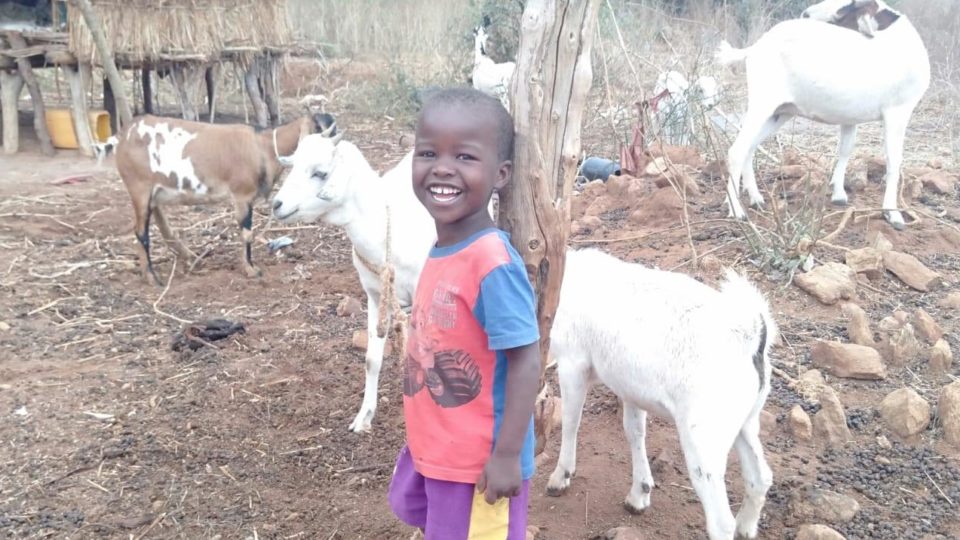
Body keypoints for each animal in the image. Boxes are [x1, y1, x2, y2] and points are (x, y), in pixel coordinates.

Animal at [101, 112, 334, 284]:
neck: (263, 146)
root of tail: (123, 134)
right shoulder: (241, 194)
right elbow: (246, 233)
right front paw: (250, 269)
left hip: (154, 192)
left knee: (162, 225)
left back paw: (190, 259)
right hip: (139, 187)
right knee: (141, 232)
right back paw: (151, 277)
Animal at [272, 133, 780, 536]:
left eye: (320, 172)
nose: (275, 205)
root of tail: (751, 328)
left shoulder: (574, 363)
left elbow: (572, 419)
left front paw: (560, 476)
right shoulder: (629, 384)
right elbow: (632, 430)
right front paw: (639, 493)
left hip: (704, 433)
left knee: (720, 518)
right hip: (745, 418)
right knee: (761, 479)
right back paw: (749, 522)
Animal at [720, 0, 928, 230]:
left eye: (843, 11)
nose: (806, 13)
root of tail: (754, 48)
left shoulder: (851, 116)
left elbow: (845, 149)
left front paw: (838, 194)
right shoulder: (898, 111)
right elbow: (894, 160)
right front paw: (893, 214)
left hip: (780, 112)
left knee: (750, 147)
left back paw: (756, 199)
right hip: (763, 103)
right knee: (737, 150)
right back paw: (736, 210)